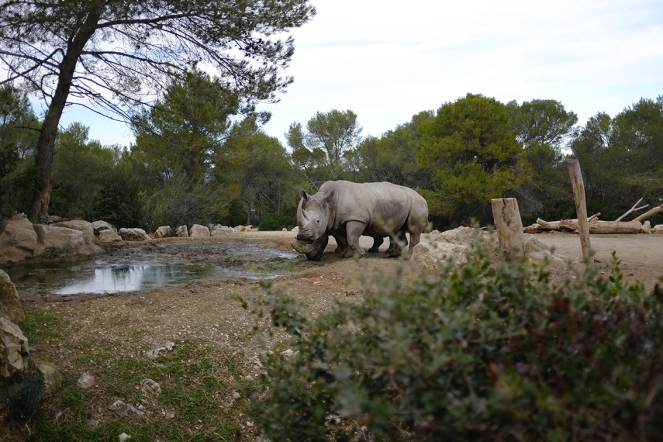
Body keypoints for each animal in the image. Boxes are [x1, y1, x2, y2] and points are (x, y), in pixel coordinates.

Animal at [292, 180, 428, 261]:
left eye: (318, 221)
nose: (303, 237)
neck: (330, 205)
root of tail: (422, 196)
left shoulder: (356, 219)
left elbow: (351, 238)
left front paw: (361, 254)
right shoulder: (336, 222)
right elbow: (344, 240)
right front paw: (344, 255)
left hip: (417, 203)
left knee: (413, 230)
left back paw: (408, 257)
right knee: (399, 230)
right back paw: (393, 255)